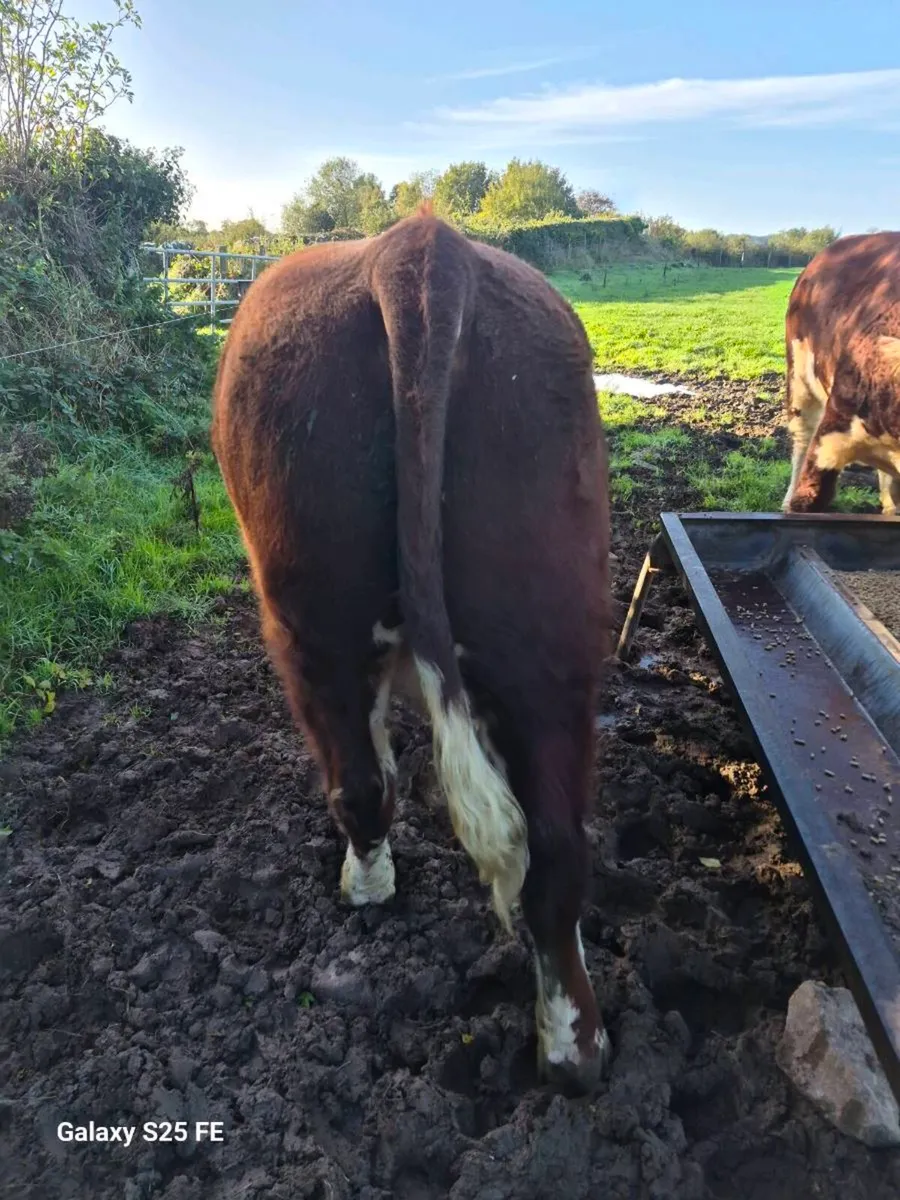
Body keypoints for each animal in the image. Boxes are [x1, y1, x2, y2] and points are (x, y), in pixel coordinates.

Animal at [210, 207, 613, 1092]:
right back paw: (573, 1044)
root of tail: (418, 248)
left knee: (359, 787)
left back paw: (367, 888)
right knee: (556, 850)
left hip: (306, 624)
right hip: (550, 637)